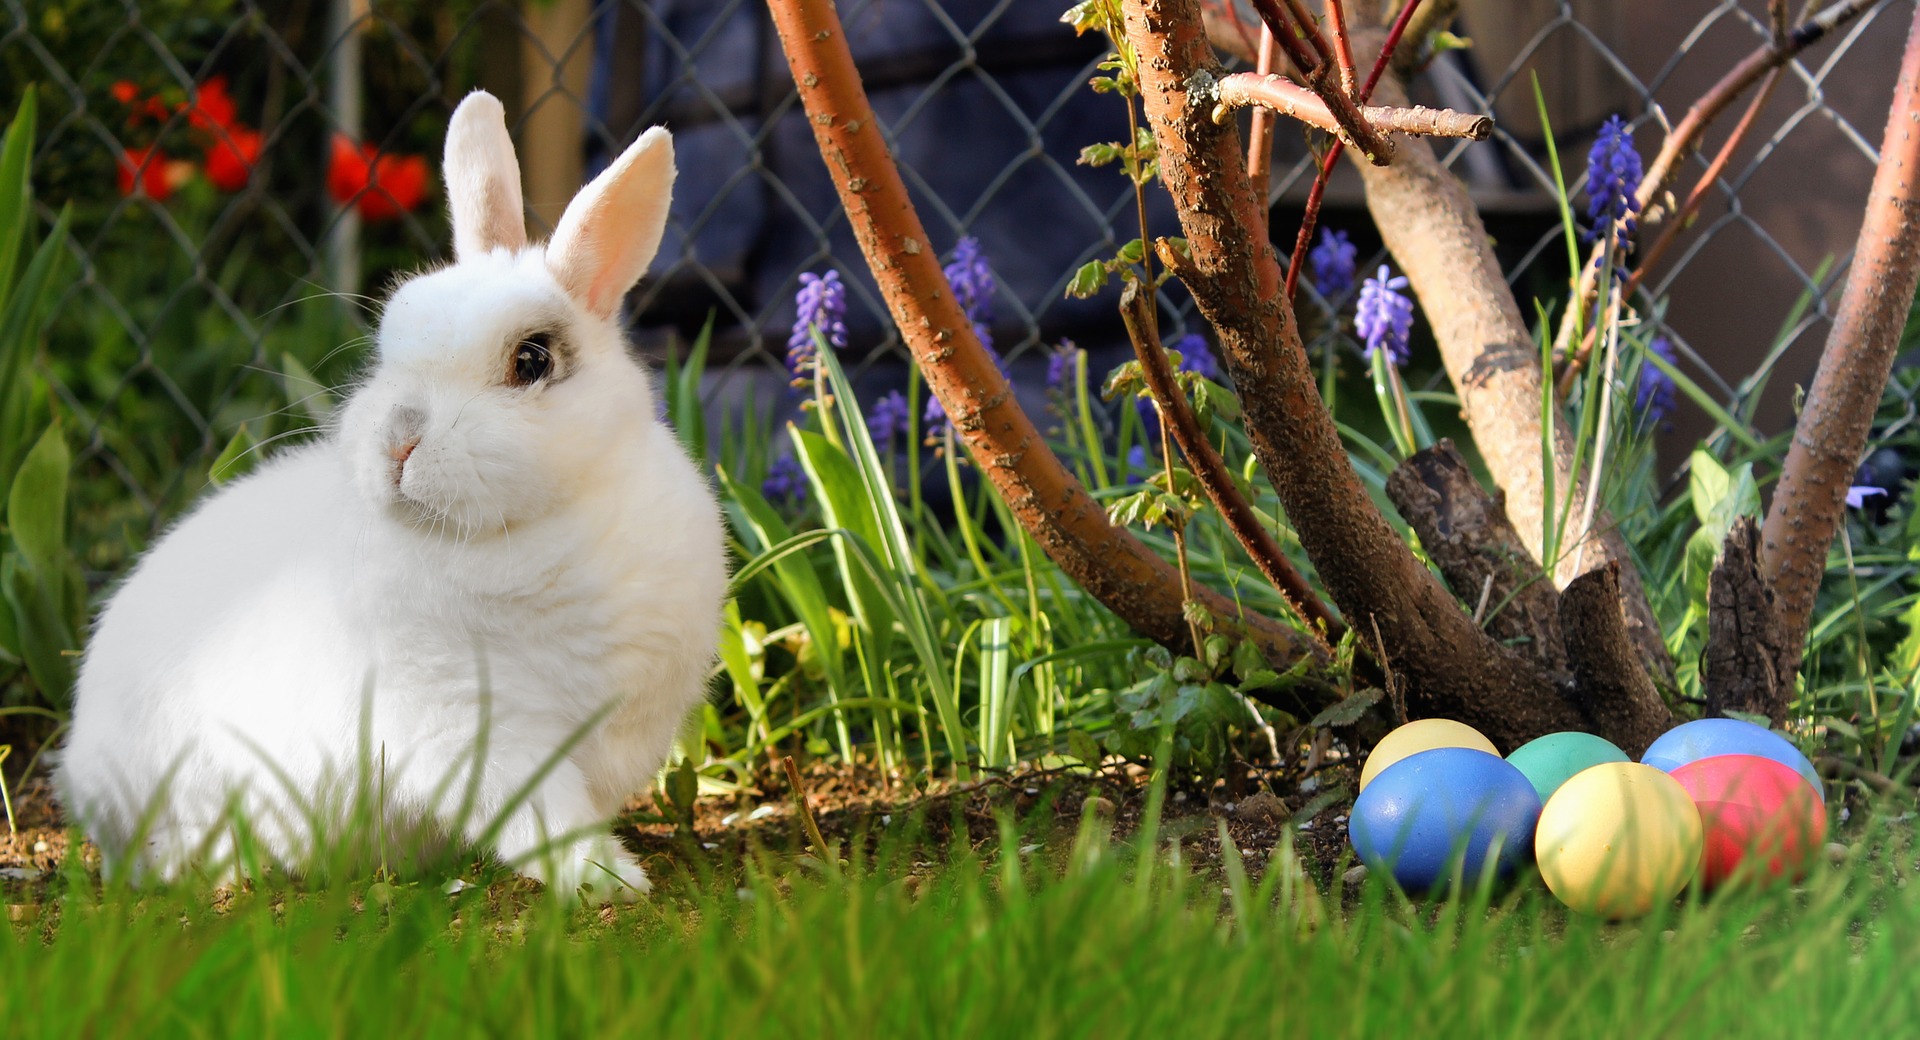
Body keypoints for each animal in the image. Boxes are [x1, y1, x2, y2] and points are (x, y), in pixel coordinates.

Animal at [54, 91, 725, 905]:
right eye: (388, 346)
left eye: (532, 359)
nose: (398, 443)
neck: (533, 530)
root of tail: (77, 770)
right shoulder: (474, 726)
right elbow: (544, 813)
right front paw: (608, 880)